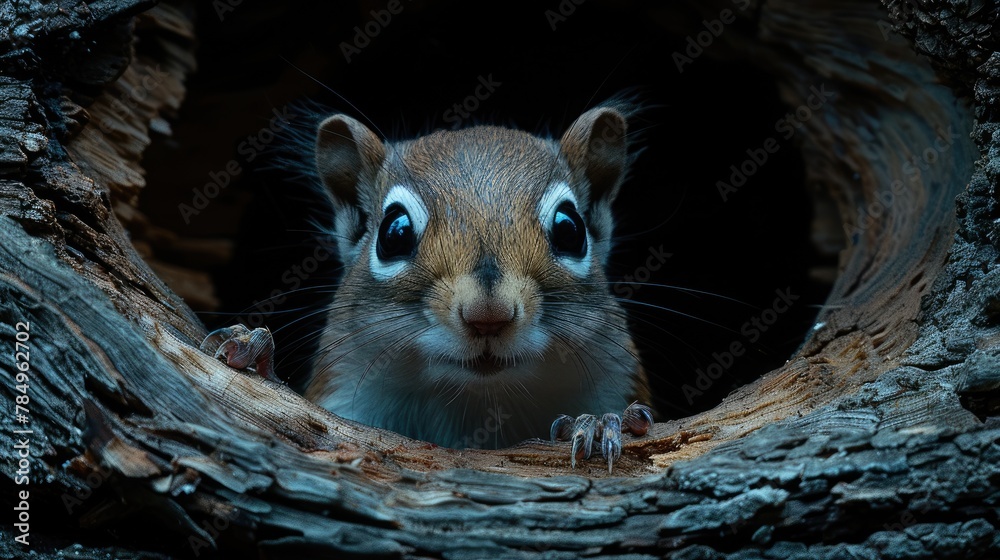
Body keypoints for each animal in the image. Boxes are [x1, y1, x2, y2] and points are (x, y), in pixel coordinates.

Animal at [202, 100, 654, 470]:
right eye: (394, 232)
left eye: (569, 229)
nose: (487, 316)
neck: (476, 404)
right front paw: (254, 349)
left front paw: (600, 425)